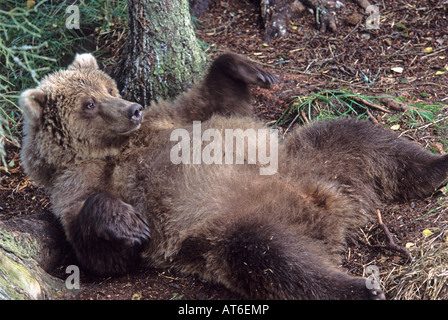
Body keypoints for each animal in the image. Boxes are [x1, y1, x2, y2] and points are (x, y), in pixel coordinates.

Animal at [19, 52, 448, 300]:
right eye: (89, 103)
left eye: (109, 86)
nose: (132, 108)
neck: (114, 148)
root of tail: (332, 207)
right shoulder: (76, 186)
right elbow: (101, 254)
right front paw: (126, 223)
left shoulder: (173, 117)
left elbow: (213, 101)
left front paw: (249, 69)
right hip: (229, 227)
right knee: (272, 258)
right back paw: (360, 287)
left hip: (304, 159)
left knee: (356, 135)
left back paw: (437, 166)